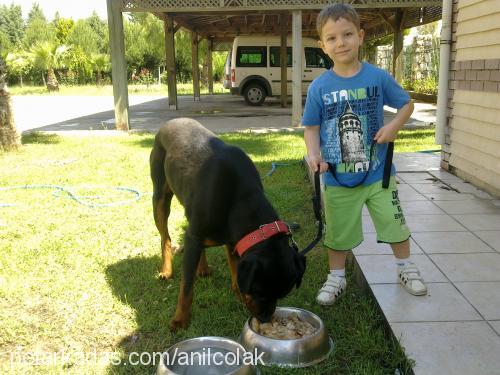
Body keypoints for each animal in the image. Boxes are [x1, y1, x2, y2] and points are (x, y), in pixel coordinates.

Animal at [149, 119, 304, 330]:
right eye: (260, 292)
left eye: (282, 295)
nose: (265, 319)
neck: (239, 197)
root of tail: (168, 123)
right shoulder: (195, 237)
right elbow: (186, 287)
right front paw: (180, 319)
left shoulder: (234, 240)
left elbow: (234, 266)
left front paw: (237, 292)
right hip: (160, 197)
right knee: (165, 237)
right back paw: (166, 270)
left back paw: (203, 268)